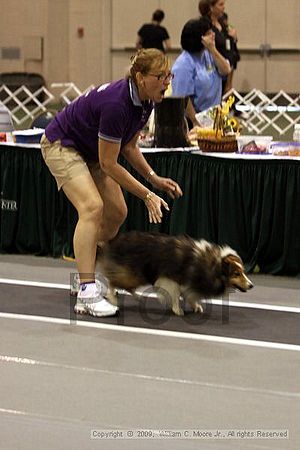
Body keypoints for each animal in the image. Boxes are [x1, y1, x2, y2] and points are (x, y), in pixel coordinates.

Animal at [98, 230, 253, 314]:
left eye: (243, 271)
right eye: (236, 273)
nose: (251, 285)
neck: (212, 265)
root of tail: (113, 242)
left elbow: (190, 295)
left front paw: (196, 306)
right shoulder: (171, 279)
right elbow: (176, 295)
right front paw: (177, 310)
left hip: (138, 274)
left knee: (127, 286)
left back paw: (138, 298)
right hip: (132, 273)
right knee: (113, 282)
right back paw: (112, 298)